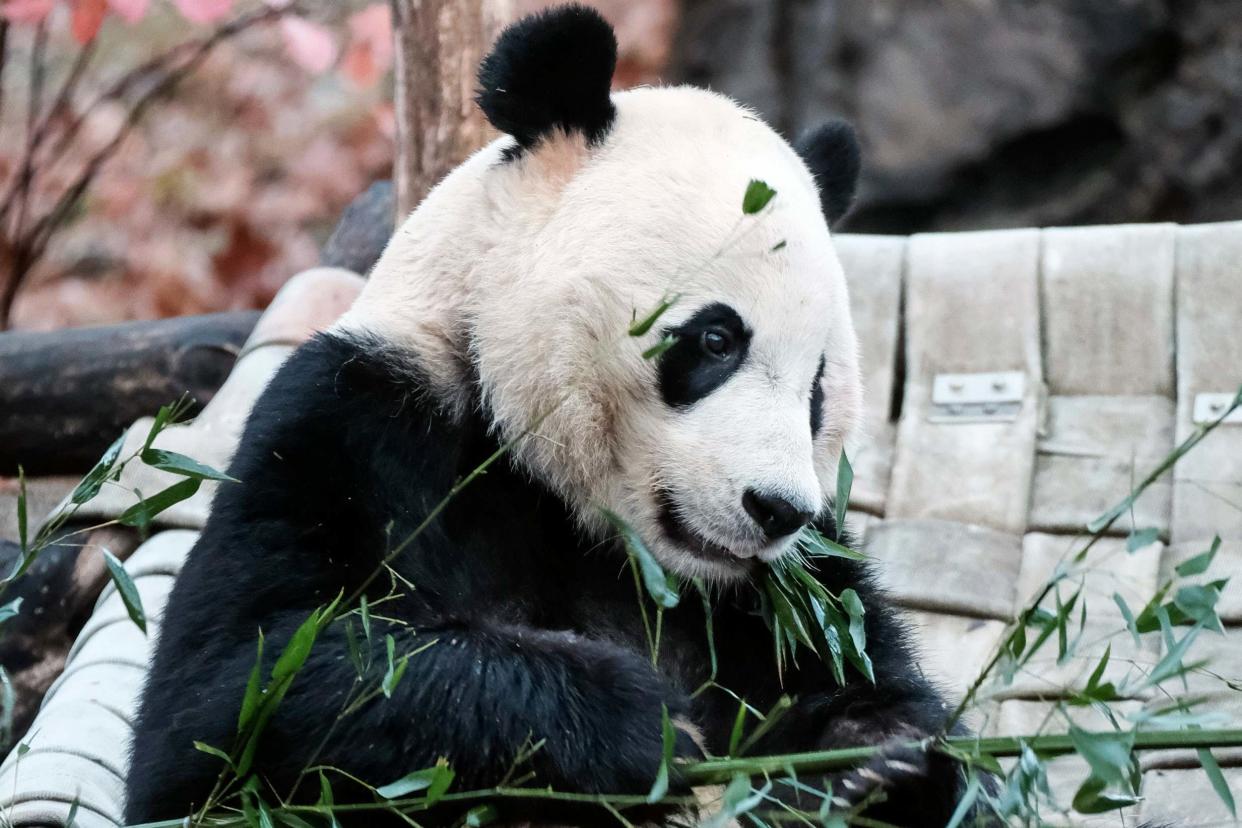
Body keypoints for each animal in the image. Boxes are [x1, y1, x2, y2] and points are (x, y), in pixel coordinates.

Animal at [128, 6, 978, 828]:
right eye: (716, 340)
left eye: (818, 387)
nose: (776, 510)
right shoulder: (359, 421)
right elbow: (239, 690)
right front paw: (643, 724)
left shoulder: (794, 587)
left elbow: (863, 667)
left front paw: (871, 756)